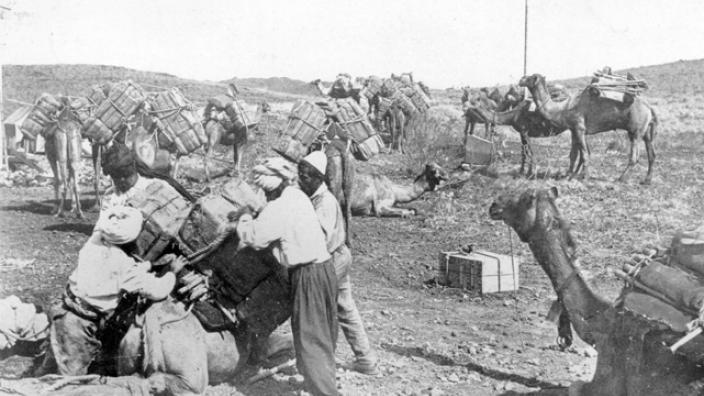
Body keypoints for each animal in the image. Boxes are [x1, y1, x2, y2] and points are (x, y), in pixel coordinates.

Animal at [516, 73, 660, 184]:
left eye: (531, 77)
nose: (520, 79)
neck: (563, 108)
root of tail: (649, 107)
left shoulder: (579, 128)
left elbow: (584, 154)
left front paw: (584, 177)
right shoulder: (574, 130)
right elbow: (573, 154)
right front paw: (568, 175)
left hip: (635, 131)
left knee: (634, 157)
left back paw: (621, 178)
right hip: (646, 132)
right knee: (652, 154)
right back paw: (647, 180)